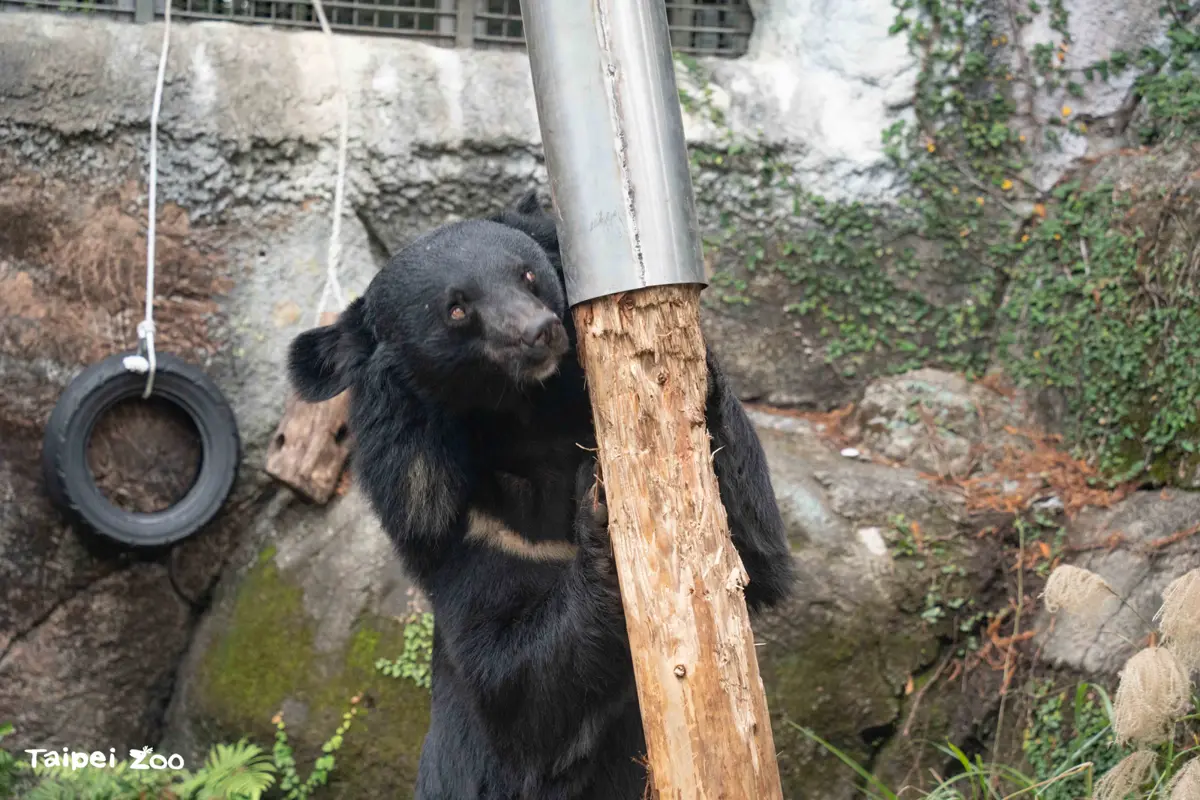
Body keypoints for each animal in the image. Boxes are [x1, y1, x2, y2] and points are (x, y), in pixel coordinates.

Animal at [286, 192, 794, 799]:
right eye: (456, 309)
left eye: (528, 275)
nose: (541, 332)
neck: (525, 416)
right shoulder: (459, 527)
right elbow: (512, 687)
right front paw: (598, 516)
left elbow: (752, 562)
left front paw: (695, 375)